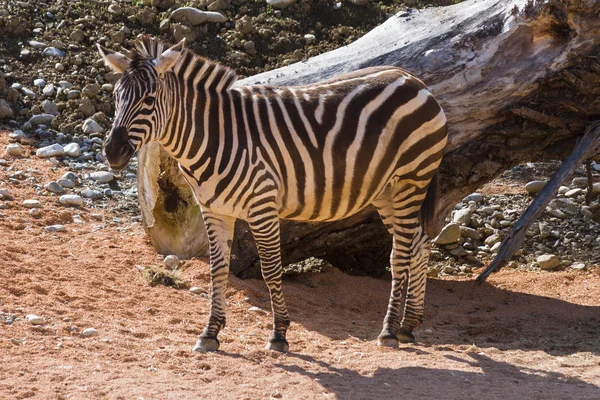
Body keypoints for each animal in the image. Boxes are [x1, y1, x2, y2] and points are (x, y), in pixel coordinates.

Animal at [97, 36, 446, 352]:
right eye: (115, 96)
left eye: (150, 98)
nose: (112, 151)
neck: (213, 136)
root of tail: (413, 79)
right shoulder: (214, 210)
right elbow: (216, 269)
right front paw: (210, 333)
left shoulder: (261, 206)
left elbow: (270, 269)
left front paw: (279, 334)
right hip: (386, 191)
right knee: (420, 244)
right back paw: (408, 325)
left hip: (410, 180)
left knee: (401, 253)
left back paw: (389, 331)